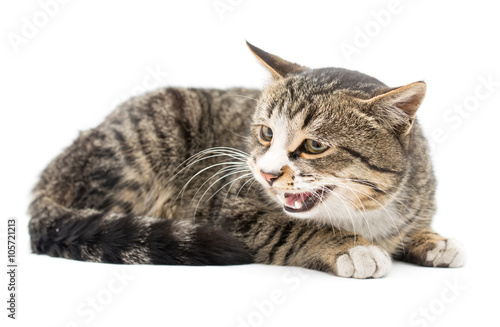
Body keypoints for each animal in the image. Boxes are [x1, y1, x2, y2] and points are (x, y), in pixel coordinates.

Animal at [27, 42, 464, 280]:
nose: (268, 173)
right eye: (266, 134)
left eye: (314, 146)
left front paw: (432, 241)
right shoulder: (231, 210)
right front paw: (350, 248)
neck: (361, 215)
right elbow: (289, 230)